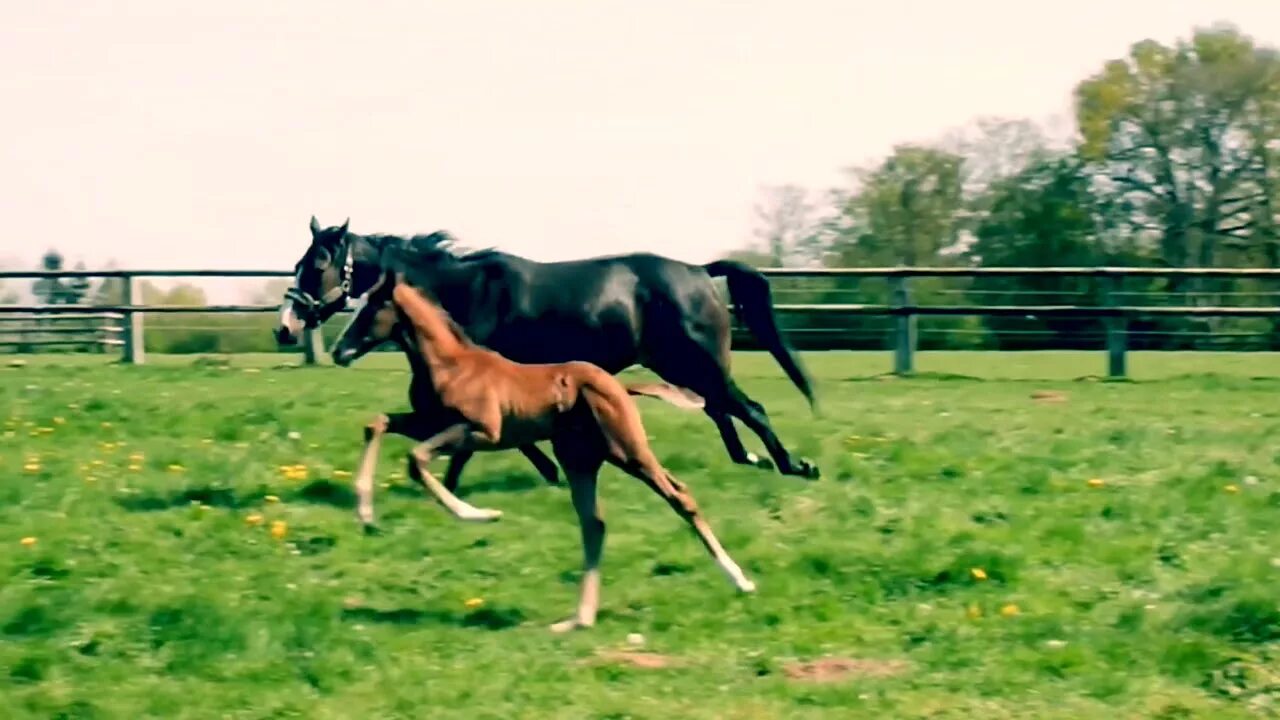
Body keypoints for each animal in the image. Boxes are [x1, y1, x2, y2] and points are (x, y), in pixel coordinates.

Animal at [279, 212, 819, 484]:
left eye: (319, 263)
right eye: (300, 262)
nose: (286, 327)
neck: (464, 291)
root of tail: (699, 271)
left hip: (697, 362)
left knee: (749, 408)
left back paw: (794, 465)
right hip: (684, 366)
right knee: (722, 411)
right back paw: (756, 460)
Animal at [343, 271, 757, 630]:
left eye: (369, 309)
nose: (339, 350)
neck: (451, 366)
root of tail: (619, 387)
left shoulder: (484, 432)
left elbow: (417, 460)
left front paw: (481, 515)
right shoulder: (427, 422)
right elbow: (377, 424)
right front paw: (365, 513)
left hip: (628, 451)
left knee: (678, 496)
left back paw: (740, 580)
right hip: (581, 460)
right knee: (595, 523)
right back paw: (579, 619)